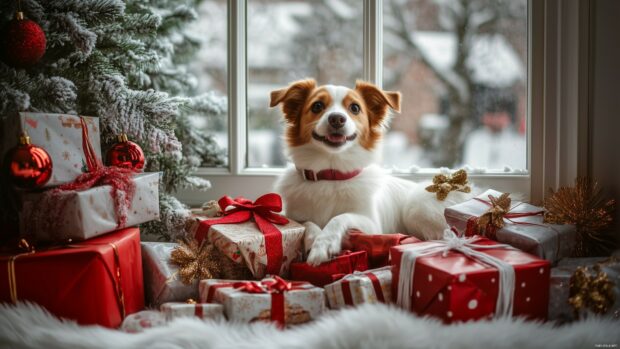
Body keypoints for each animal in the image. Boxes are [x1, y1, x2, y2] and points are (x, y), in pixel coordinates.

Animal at [268, 79, 472, 264]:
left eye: (355, 108)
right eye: (317, 106)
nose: (337, 118)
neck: (331, 175)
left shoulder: (372, 225)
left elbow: (340, 217)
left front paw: (323, 244)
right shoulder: (294, 216)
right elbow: (307, 223)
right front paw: (314, 240)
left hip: (417, 208)